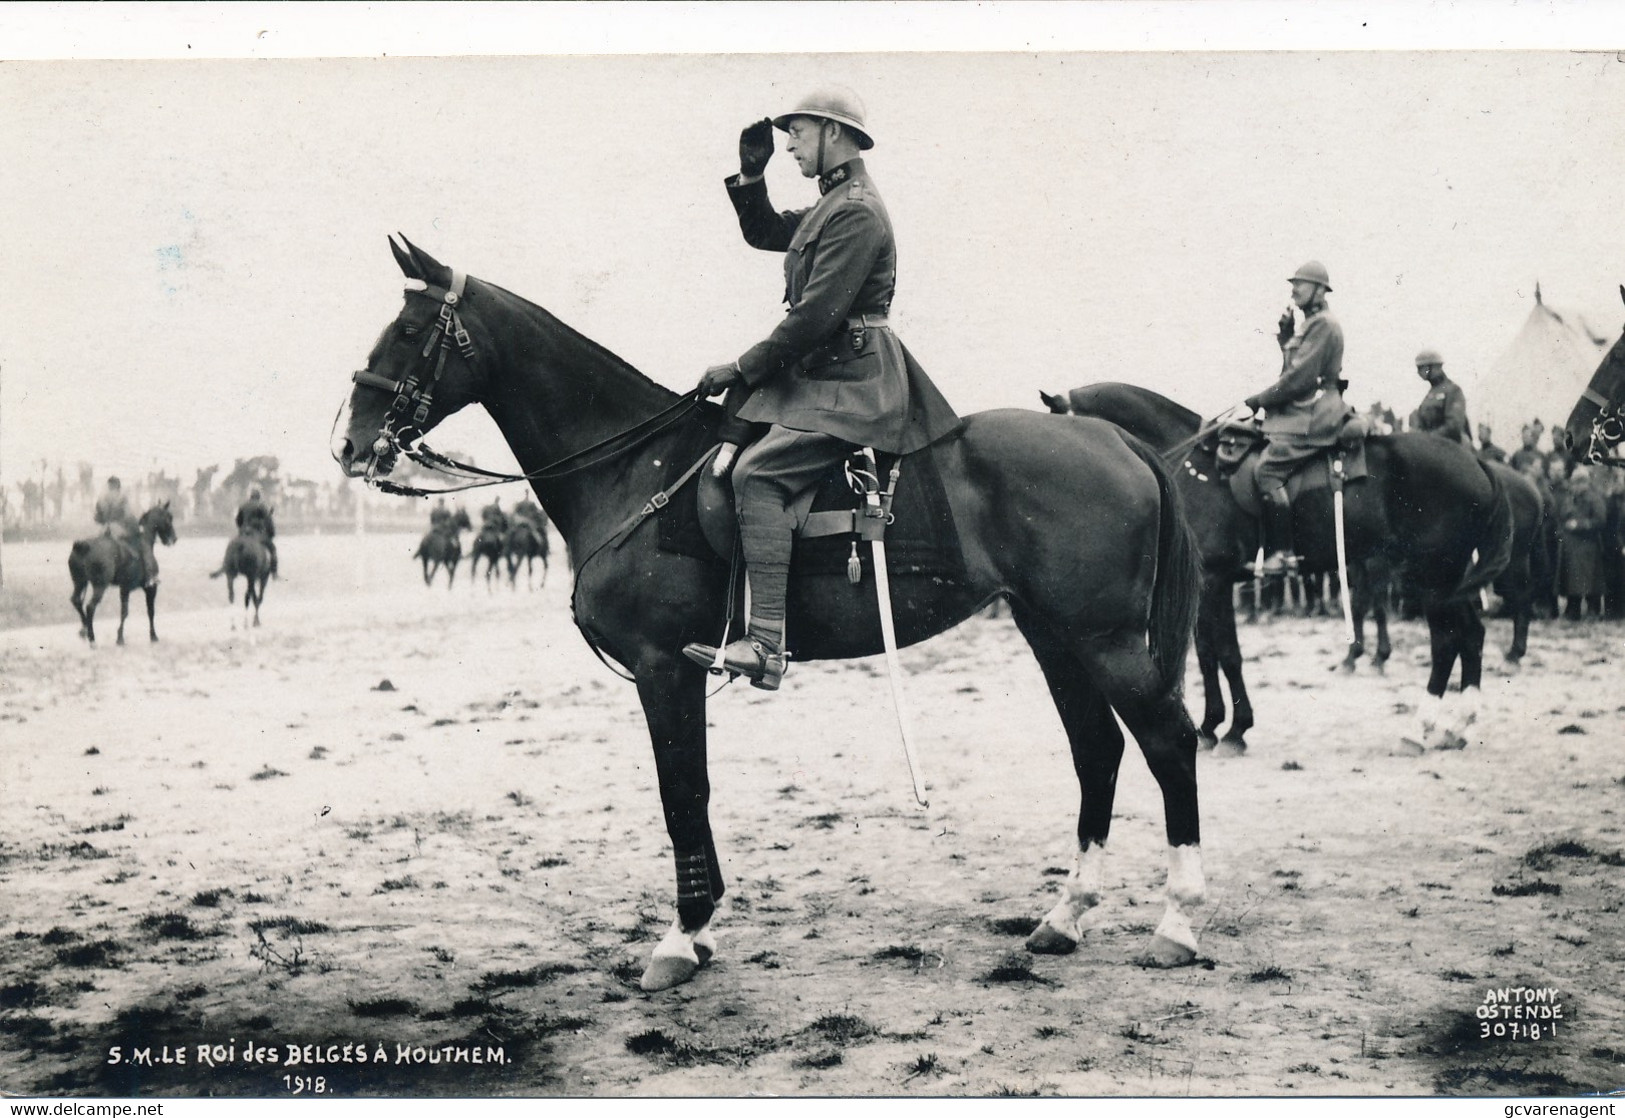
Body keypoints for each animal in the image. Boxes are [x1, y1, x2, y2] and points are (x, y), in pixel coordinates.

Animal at [69, 500, 177, 643]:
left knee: (76, 601)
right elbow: (149, 611)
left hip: (80, 583)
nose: (174, 538)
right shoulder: (150, 588)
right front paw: (152, 636)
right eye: (169, 517)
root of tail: (83, 546)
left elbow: (124, 612)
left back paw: (84, 629)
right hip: (99, 586)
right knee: (90, 607)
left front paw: (120, 637)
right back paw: (92, 639)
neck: (143, 541)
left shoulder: (124, 588)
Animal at [336, 240, 1209, 994]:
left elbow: (682, 792)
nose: (348, 445)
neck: (633, 467)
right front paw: (701, 930)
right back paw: (1065, 916)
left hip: (1105, 640)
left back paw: (1178, 923)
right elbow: (691, 792)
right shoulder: (675, 669)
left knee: (1168, 741)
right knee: (1097, 750)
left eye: (408, 331)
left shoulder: (663, 665)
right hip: (1051, 634)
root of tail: (1116, 441)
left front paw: (681, 936)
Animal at [1046, 381, 1514, 750]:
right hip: (1446, 578)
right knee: (1471, 634)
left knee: (1447, 640)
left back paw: (1420, 728)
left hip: (1431, 576)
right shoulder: (1205, 587)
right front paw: (1213, 725)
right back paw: (1458, 725)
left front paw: (1234, 729)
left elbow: (1225, 654)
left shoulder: (1214, 582)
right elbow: (1208, 653)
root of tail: (1475, 461)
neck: (1189, 468)